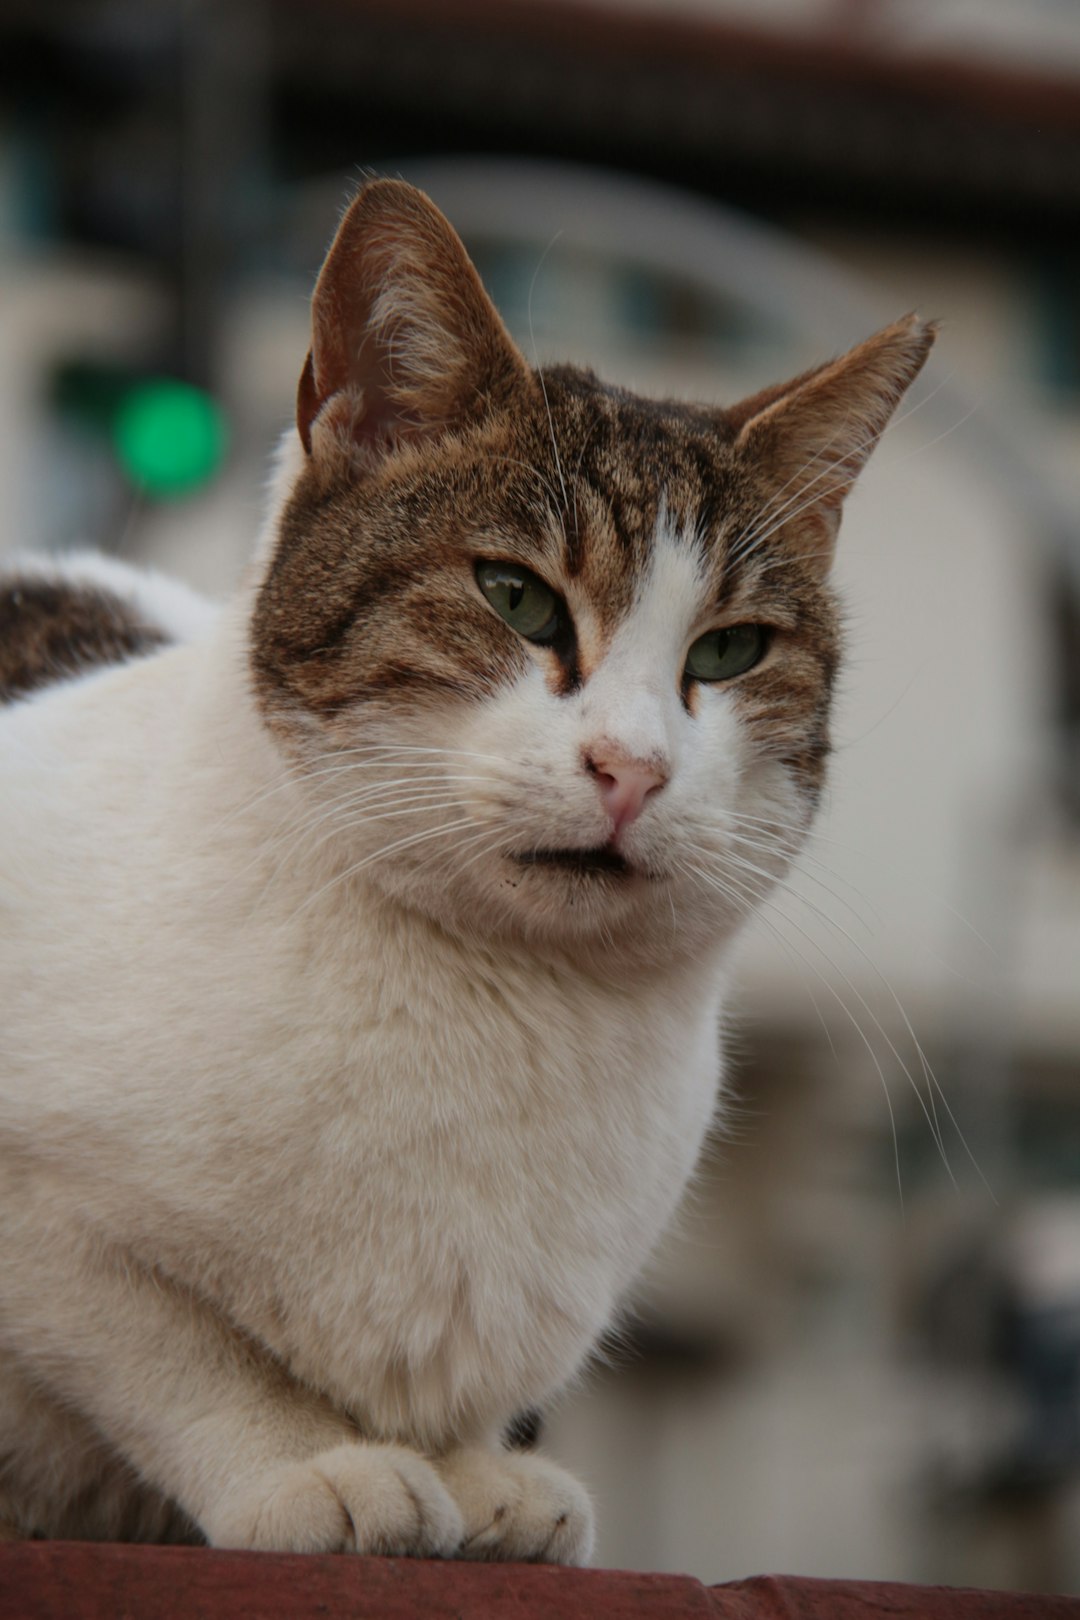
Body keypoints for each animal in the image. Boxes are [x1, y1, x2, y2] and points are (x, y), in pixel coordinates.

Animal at [0, 183, 932, 1561]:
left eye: (729, 650)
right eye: (518, 598)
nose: (632, 766)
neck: (503, 1003)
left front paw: (472, 1468)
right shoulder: (46, 1223)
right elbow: (166, 1347)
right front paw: (306, 1460)